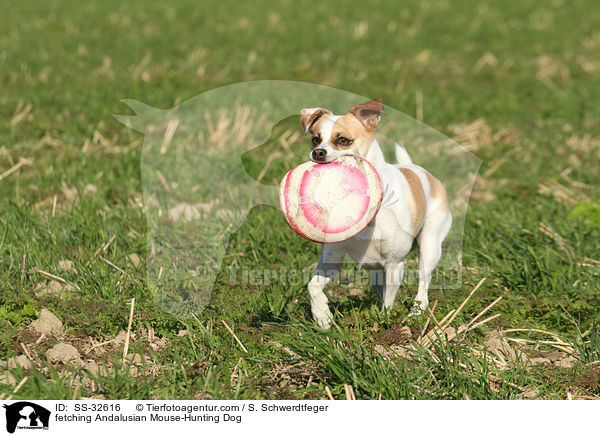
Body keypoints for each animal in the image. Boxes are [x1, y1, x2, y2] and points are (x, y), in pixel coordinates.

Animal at [300, 99, 450, 328]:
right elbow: (313, 286)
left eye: (343, 140)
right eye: (315, 139)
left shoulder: (395, 264)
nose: (318, 152)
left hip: (430, 246)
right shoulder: (332, 259)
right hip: (376, 270)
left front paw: (384, 323)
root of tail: (419, 170)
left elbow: (388, 302)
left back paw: (416, 313)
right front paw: (322, 315)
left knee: (423, 285)